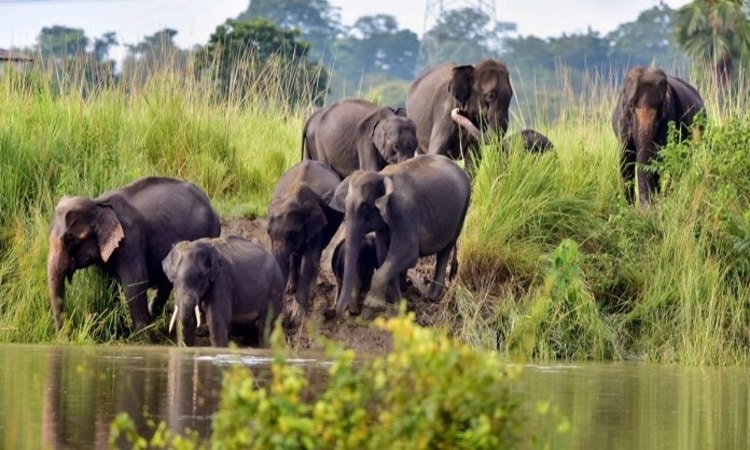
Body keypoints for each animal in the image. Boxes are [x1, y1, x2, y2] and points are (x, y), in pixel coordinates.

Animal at [268, 160, 346, 322]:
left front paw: (296, 318)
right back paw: (291, 288)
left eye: (293, 234)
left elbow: (308, 260)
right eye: (268, 233)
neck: (293, 196)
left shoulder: (316, 226)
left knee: (317, 254)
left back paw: (313, 290)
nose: (285, 318)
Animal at [328, 155, 470, 316]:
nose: (342, 310)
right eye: (345, 203)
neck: (382, 175)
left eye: (364, 206)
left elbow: (408, 253)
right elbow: (383, 255)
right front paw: (398, 307)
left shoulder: (404, 211)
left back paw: (430, 296)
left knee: (445, 250)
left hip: (462, 211)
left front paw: (373, 303)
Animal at [612, 65, 708, 206]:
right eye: (630, 106)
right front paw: (628, 207)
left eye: (660, 108)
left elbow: (656, 158)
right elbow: (626, 159)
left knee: (681, 165)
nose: (644, 207)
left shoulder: (669, 119)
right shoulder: (622, 124)